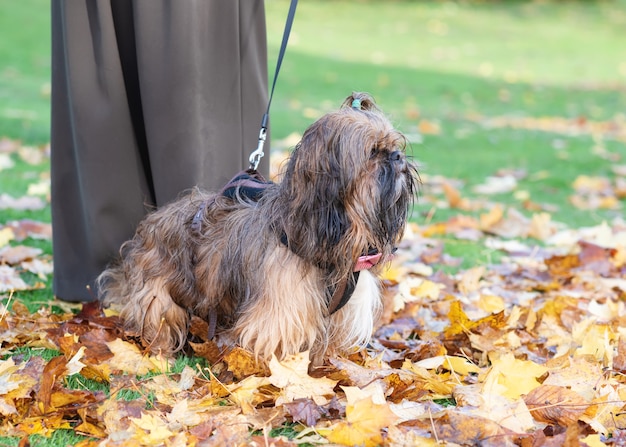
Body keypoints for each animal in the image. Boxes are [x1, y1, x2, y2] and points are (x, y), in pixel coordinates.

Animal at [100, 93, 416, 362]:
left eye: (394, 146)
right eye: (373, 152)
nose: (398, 157)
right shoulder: (282, 312)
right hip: (159, 291)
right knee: (160, 318)